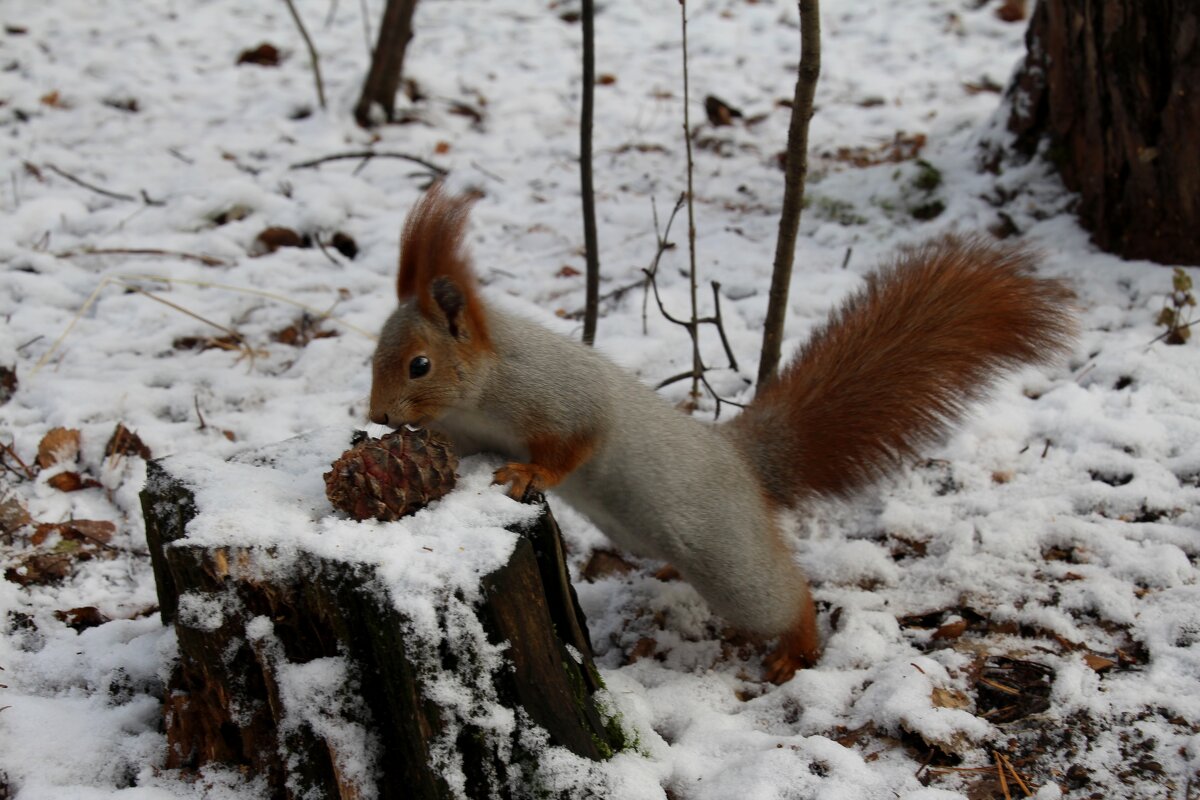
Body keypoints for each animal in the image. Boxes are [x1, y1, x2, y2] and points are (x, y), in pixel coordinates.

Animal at [367, 185, 1080, 681]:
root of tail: (742, 461)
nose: (378, 416)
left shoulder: (562, 398)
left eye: (419, 364)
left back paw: (796, 648)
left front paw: (527, 473)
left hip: (728, 555)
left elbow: (575, 443)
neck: (479, 395)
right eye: (375, 353)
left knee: (784, 597)